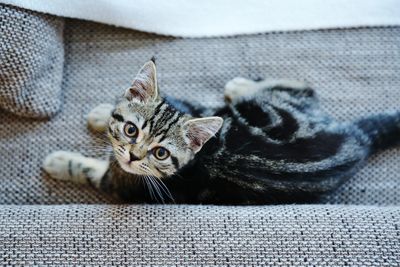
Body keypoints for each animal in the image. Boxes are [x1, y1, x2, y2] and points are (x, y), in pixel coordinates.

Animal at [43, 58, 400, 205]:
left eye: (161, 153)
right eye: (131, 130)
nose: (132, 155)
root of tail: (356, 138)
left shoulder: (123, 184)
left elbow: (89, 170)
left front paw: (59, 162)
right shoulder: (192, 107)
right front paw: (103, 113)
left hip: (272, 111)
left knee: (306, 88)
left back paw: (238, 85)